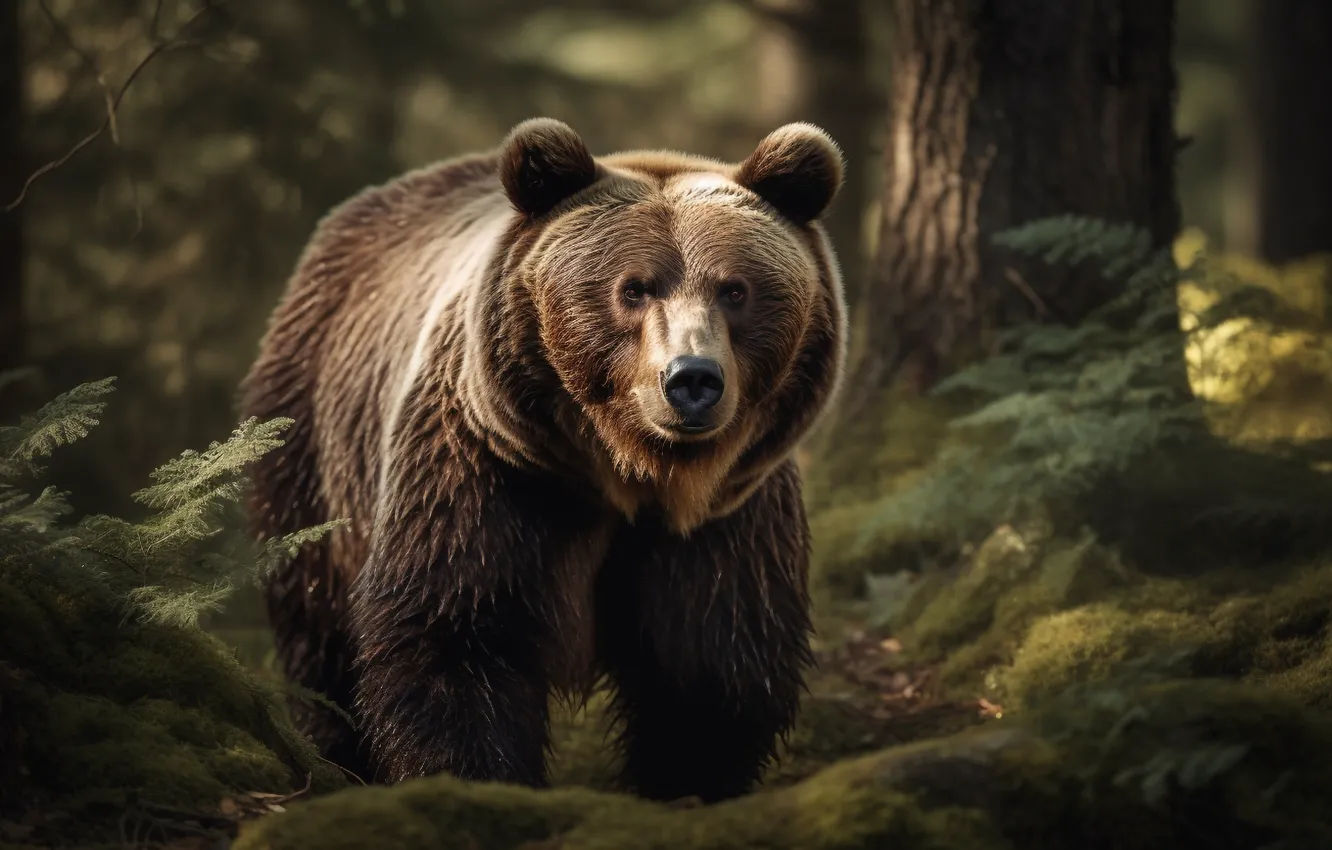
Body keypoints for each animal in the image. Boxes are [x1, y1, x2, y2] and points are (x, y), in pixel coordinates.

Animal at [240, 117, 847, 803]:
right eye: (633, 289)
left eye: (735, 289)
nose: (691, 379)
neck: (630, 474)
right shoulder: (490, 469)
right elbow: (457, 632)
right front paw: (476, 777)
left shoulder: (727, 512)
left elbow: (714, 657)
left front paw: (686, 779)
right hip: (312, 437)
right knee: (315, 621)